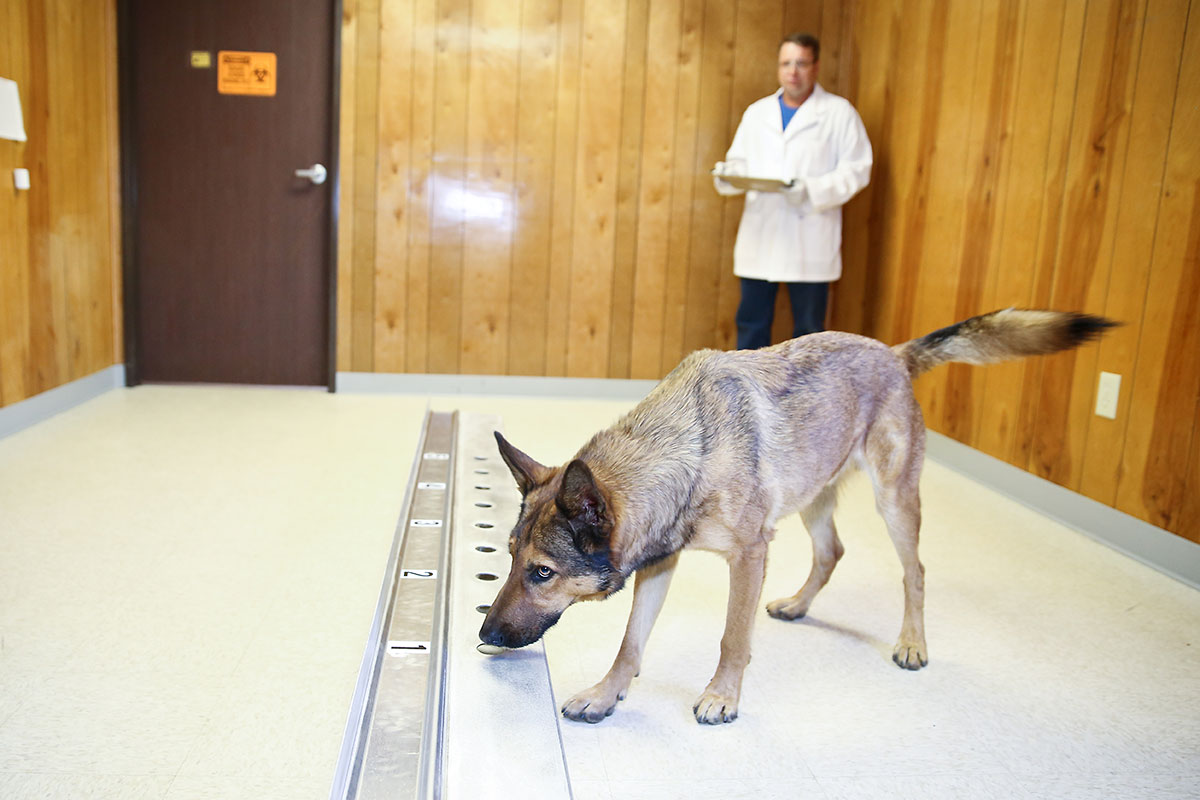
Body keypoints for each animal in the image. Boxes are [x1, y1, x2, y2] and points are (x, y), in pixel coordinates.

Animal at [477, 309, 1113, 724]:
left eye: (542, 573)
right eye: (508, 560)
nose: (483, 634)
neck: (689, 447)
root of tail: (892, 352)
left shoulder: (749, 554)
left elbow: (733, 637)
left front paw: (723, 695)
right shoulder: (660, 562)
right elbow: (630, 643)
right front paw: (608, 693)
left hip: (894, 502)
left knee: (915, 571)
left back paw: (912, 641)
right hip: (813, 499)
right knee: (832, 552)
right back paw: (800, 605)